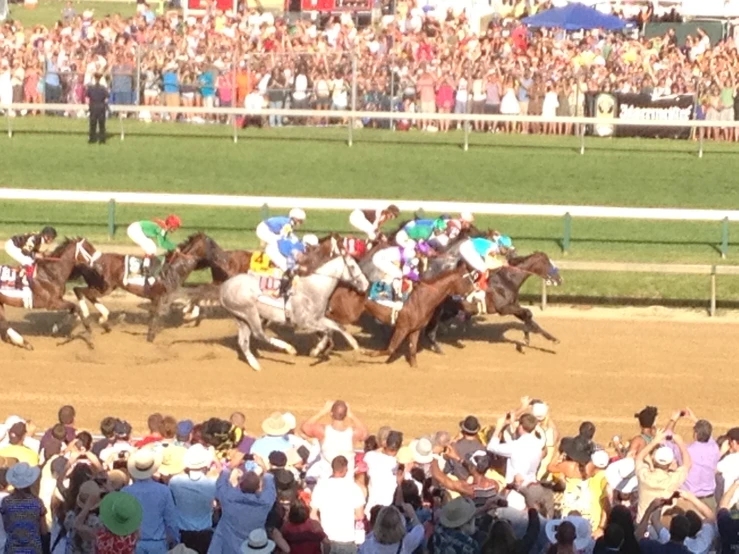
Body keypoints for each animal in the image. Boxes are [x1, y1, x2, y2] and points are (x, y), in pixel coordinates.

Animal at [74, 231, 228, 338]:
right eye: (213, 245)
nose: (223, 257)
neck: (173, 268)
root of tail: (94, 259)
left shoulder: (164, 296)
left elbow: (196, 293)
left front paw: (190, 313)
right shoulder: (161, 296)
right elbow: (156, 315)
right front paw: (151, 336)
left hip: (107, 287)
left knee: (85, 293)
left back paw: (103, 320)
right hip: (103, 287)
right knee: (79, 290)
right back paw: (88, 316)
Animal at [218, 248, 370, 368]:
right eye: (353, 266)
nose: (366, 284)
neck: (314, 289)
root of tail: (224, 287)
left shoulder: (318, 318)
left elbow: (337, 327)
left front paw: (356, 347)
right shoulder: (304, 322)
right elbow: (327, 331)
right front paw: (316, 350)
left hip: (241, 317)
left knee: (243, 342)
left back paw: (255, 365)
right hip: (249, 312)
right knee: (259, 334)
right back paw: (289, 349)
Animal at [424, 250, 564, 350]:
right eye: (547, 263)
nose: (560, 279)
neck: (508, 279)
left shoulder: (513, 307)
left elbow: (529, 318)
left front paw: (552, 339)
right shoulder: (503, 308)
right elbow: (528, 313)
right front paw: (525, 338)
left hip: (449, 310)